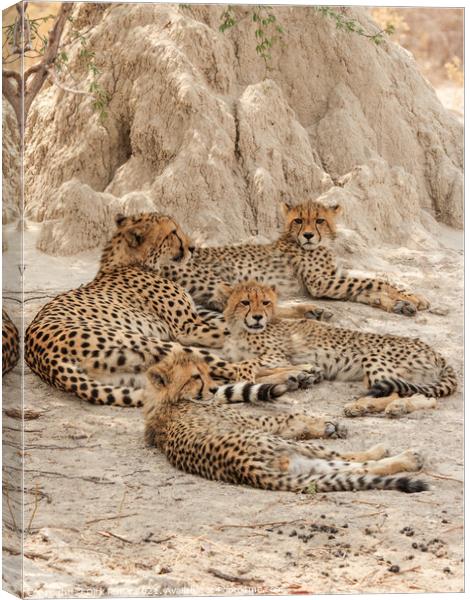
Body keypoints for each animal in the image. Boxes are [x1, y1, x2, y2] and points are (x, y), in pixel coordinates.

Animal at [23, 212, 294, 408]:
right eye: (173, 233)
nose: (193, 248)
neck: (127, 262)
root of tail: (45, 358)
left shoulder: (197, 315)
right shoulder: (188, 328)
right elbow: (232, 331)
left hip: (132, 373)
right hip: (157, 343)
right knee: (238, 370)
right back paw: (293, 372)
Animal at [145, 352, 428, 492]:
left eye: (206, 372)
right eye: (195, 376)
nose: (214, 389)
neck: (170, 400)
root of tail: (245, 467)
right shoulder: (258, 424)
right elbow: (288, 416)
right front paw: (325, 422)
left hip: (300, 464)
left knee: (353, 470)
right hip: (292, 449)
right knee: (355, 462)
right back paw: (400, 455)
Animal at [162, 199, 430, 316]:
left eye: (319, 220)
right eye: (299, 220)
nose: (309, 235)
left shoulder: (333, 280)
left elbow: (368, 288)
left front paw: (401, 303)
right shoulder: (322, 283)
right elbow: (377, 280)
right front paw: (413, 297)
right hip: (219, 279)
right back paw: (312, 311)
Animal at [218, 282, 458, 418]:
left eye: (266, 302)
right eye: (245, 302)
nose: (258, 317)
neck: (240, 328)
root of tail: (436, 352)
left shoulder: (278, 355)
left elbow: (246, 363)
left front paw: (247, 377)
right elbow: (254, 368)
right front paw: (302, 374)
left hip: (374, 359)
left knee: (397, 391)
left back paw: (363, 406)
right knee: (421, 396)